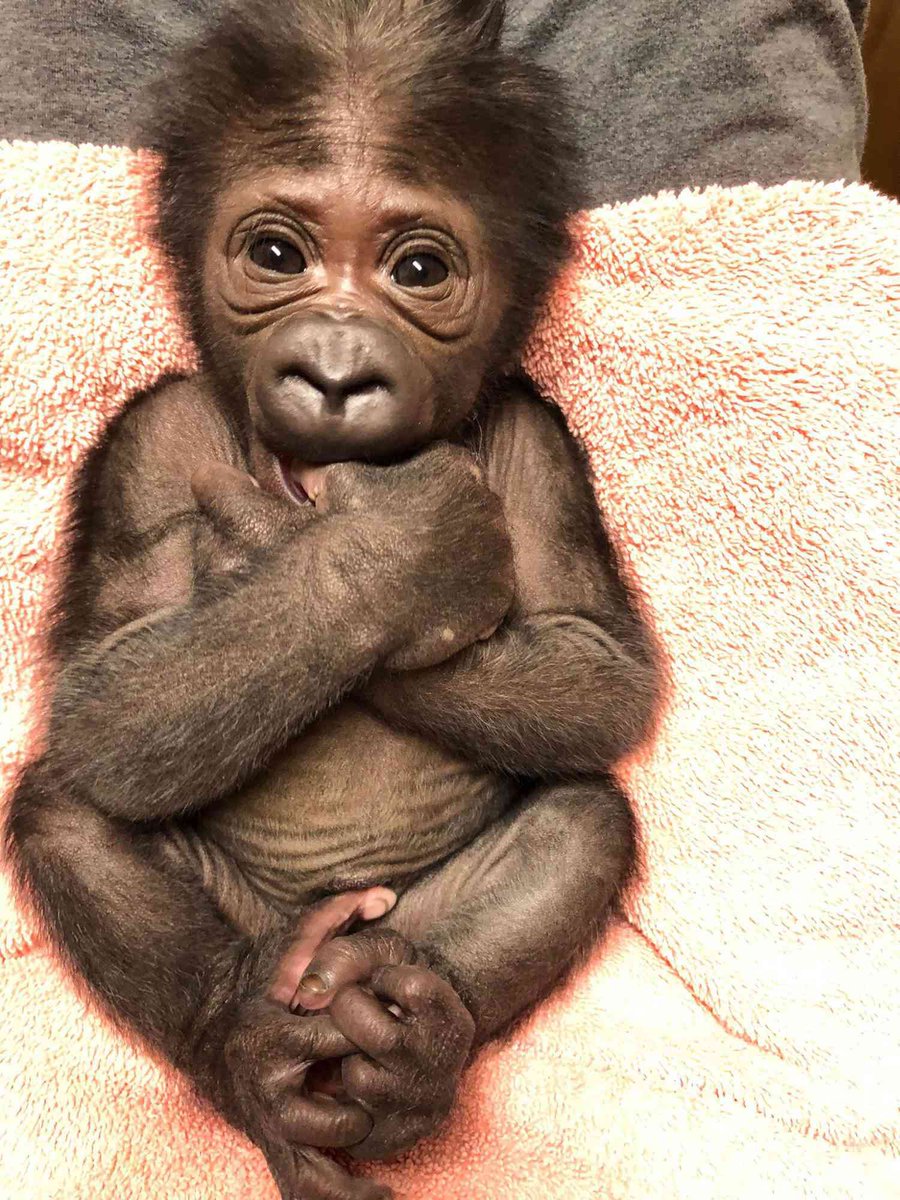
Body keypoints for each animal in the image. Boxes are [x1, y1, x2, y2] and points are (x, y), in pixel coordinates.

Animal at [4, 2, 659, 1198]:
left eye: (418, 268)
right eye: (277, 255)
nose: (339, 371)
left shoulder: (539, 439)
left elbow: (594, 673)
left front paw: (366, 547)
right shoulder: (146, 439)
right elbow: (108, 706)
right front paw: (387, 554)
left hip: (389, 932)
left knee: (582, 821)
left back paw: (410, 1056)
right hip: (268, 941)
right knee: (66, 811)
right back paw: (248, 1054)